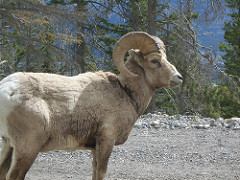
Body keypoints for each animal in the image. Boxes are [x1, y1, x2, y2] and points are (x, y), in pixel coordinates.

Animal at [0, 31, 183, 179]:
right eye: (155, 61)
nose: (179, 77)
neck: (126, 93)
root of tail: (7, 90)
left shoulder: (95, 148)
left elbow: (94, 171)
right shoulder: (106, 141)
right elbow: (100, 173)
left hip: (8, 145)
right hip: (27, 148)